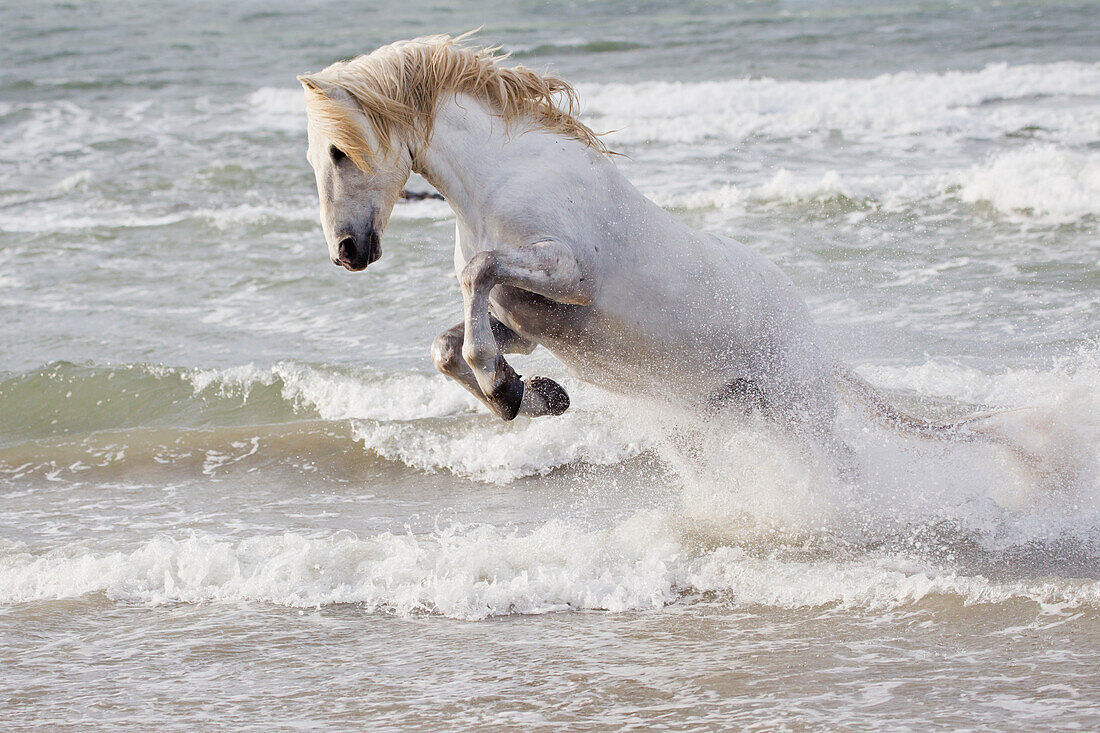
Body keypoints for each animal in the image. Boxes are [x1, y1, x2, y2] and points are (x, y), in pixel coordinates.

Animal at [299, 32, 1012, 457]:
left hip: (797, 408)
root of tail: (810, 333)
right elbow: (447, 346)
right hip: (734, 411)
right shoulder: (524, 319)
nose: (346, 252)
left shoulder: (568, 274)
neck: (504, 178)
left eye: (339, 152)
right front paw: (534, 396)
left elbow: (477, 274)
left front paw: (507, 390)